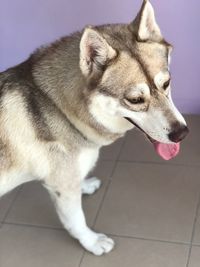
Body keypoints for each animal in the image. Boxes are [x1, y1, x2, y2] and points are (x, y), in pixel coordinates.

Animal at [0, 0, 188, 255]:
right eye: (135, 100)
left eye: (166, 84)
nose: (181, 133)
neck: (58, 107)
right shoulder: (62, 186)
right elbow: (76, 220)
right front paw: (92, 241)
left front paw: (86, 185)